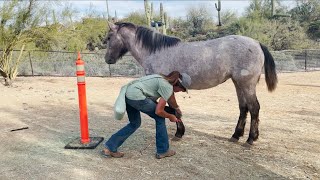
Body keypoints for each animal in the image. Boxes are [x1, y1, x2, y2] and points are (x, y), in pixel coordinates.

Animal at [103, 21, 278, 146]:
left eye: (109, 37)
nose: (107, 59)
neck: (156, 52)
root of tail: (257, 43)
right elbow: (174, 109)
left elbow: (173, 109)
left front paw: (179, 133)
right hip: (238, 83)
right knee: (244, 107)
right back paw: (236, 135)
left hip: (246, 84)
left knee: (254, 108)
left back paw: (250, 139)